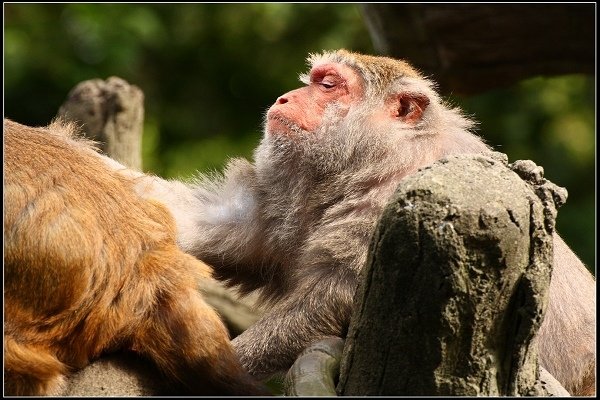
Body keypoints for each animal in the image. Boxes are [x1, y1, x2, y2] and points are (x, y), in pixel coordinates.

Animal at [118, 50, 596, 396]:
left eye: (329, 86)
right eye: (312, 80)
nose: (285, 98)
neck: (377, 160)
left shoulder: (397, 201)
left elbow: (334, 299)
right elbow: (214, 222)